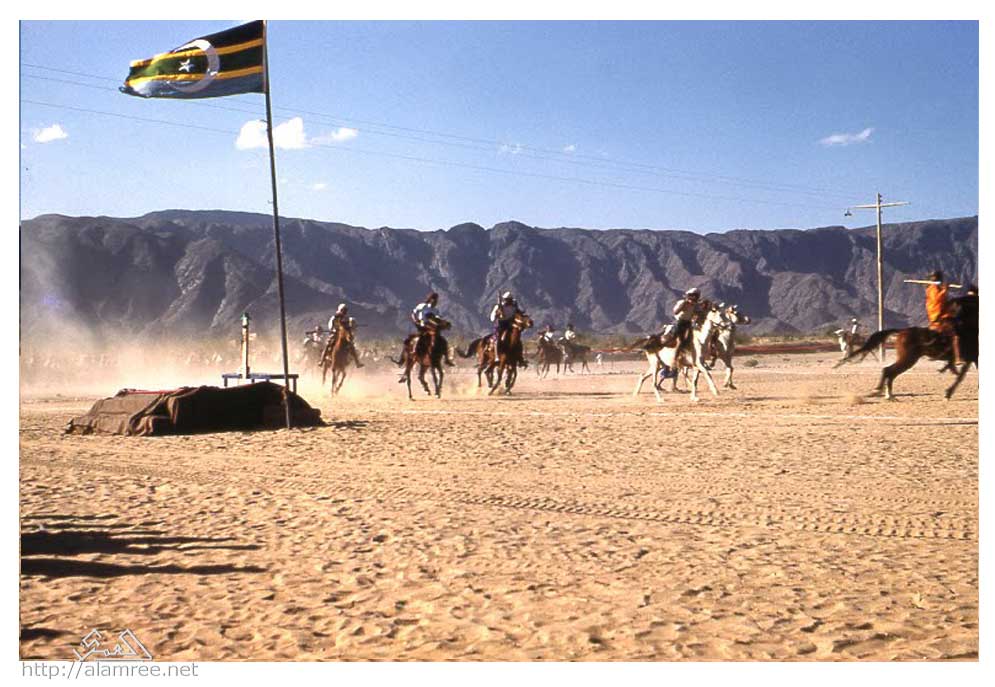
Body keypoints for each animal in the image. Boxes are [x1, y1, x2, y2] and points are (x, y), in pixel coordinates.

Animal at [834, 320, 976, 400]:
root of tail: (902, 331)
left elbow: (961, 376)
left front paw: (949, 392)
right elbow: (961, 376)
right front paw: (948, 393)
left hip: (907, 359)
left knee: (889, 371)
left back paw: (888, 394)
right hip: (908, 359)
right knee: (889, 371)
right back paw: (884, 393)